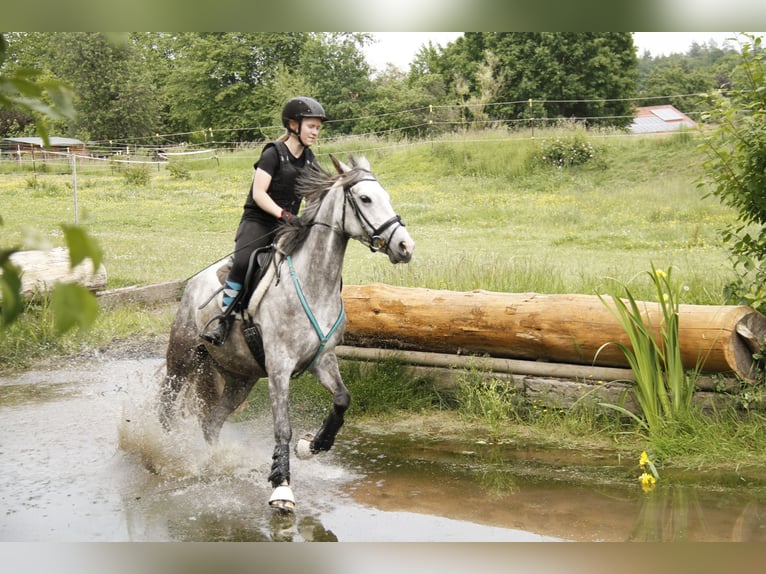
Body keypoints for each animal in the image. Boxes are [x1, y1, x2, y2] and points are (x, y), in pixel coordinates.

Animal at [157, 154, 416, 512]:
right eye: (365, 199)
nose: (406, 246)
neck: (314, 282)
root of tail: (193, 283)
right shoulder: (279, 367)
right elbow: (282, 428)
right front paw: (282, 487)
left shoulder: (322, 360)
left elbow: (342, 400)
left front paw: (311, 446)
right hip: (182, 360)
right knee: (167, 409)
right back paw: (170, 452)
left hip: (240, 377)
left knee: (211, 421)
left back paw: (216, 461)